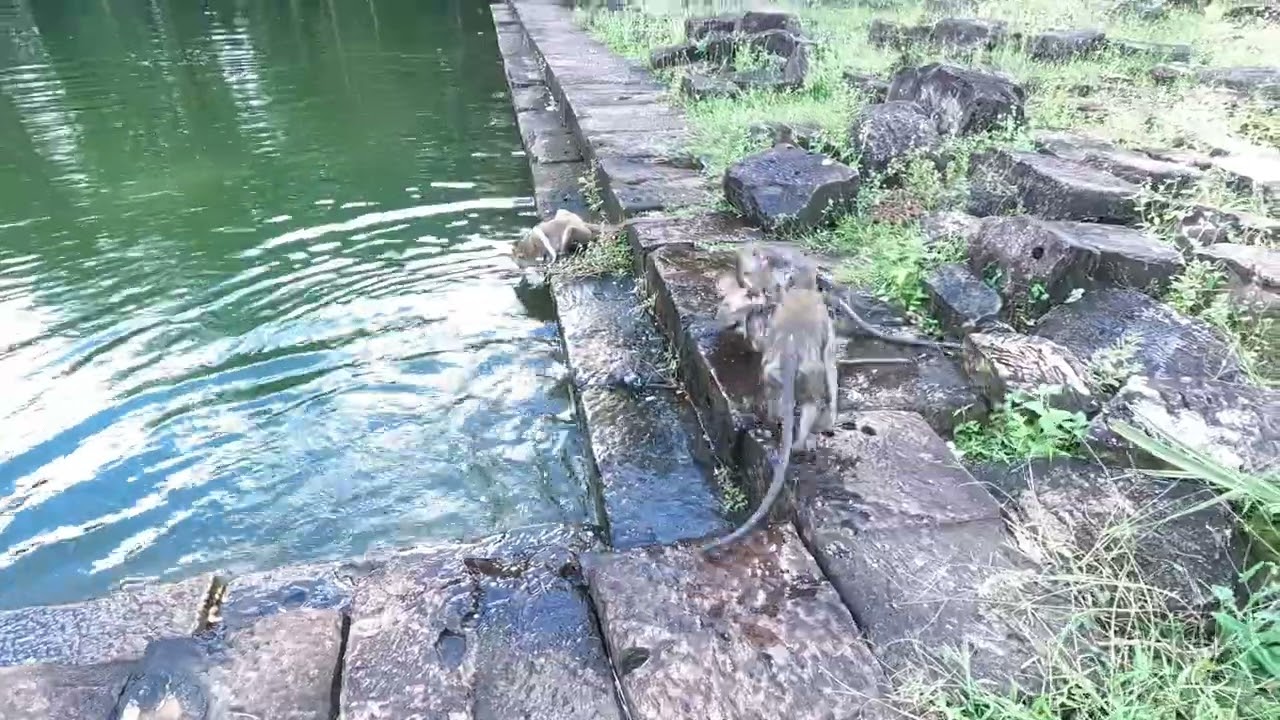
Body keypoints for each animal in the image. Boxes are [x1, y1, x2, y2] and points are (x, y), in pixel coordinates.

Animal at [702, 285, 839, 555]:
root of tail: (791, 351)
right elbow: (831, 363)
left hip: (778, 371)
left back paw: (785, 431)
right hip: (805, 371)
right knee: (811, 395)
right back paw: (798, 440)